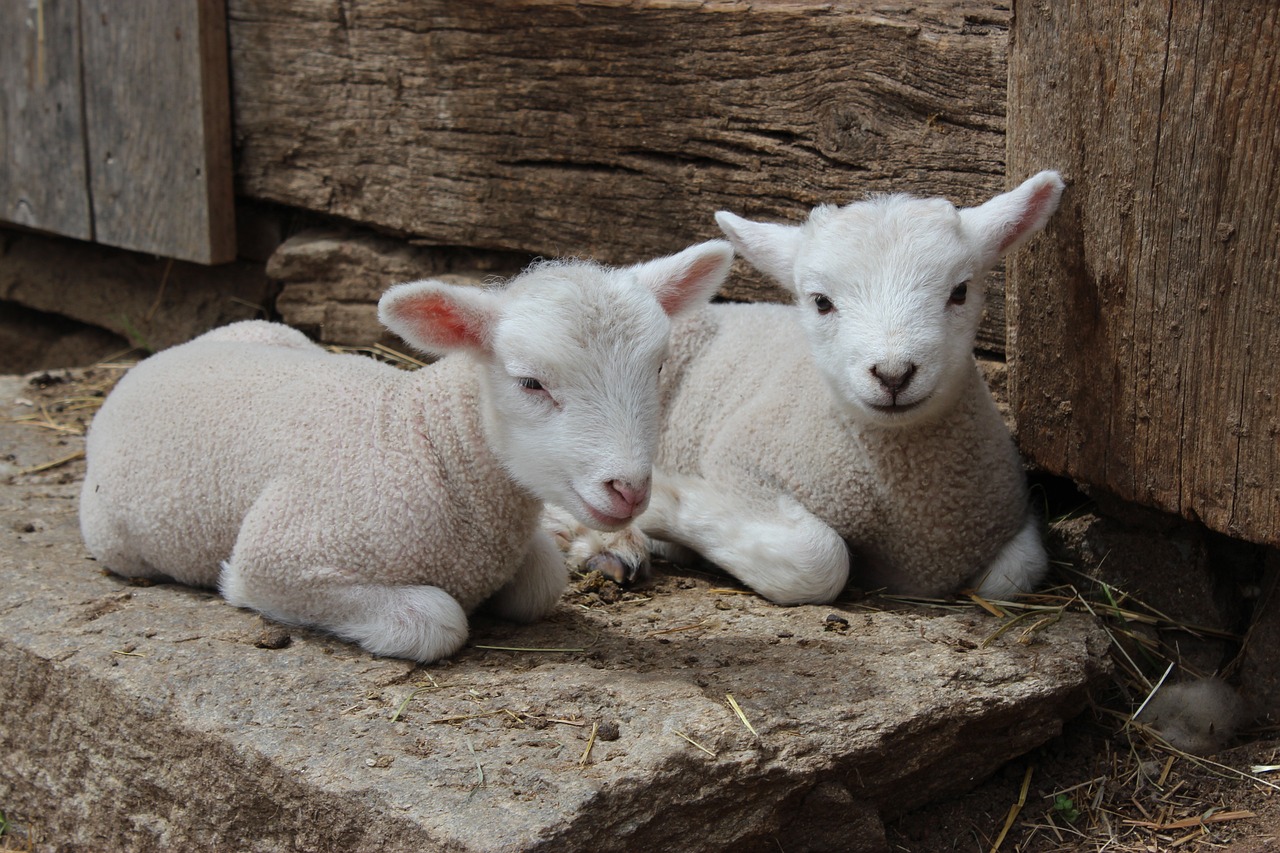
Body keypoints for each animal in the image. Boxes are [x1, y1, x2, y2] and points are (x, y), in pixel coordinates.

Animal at [80, 239, 737, 655]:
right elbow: (439, 621)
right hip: (115, 540)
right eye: (530, 382)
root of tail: (155, 358)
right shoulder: (277, 557)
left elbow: (540, 583)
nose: (628, 488)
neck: (421, 440)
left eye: (658, 369)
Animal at [555, 171, 1064, 596]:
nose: (893, 374)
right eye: (821, 301)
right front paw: (664, 503)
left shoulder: (1008, 518)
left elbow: (1011, 577)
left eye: (960, 291)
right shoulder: (741, 462)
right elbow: (819, 564)